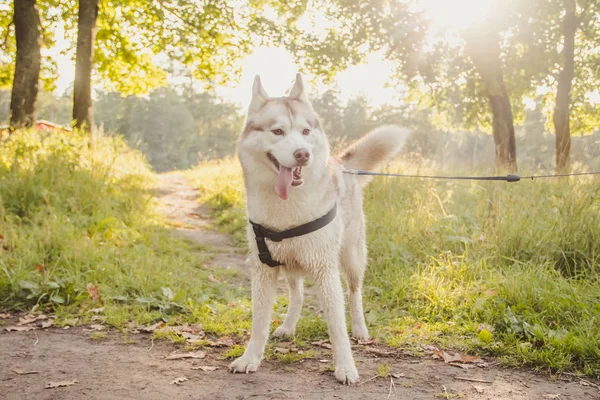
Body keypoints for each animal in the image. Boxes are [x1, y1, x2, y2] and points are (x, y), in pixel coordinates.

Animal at [230, 73, 408, 382]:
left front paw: (346, 366)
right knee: (298, 295)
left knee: (355, 294)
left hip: (352, 257)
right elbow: (259, 323)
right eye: (277, 131)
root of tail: (341, 163)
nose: (303, 154)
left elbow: (337, 327)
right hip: (290, 262)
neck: (287, 210)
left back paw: (360, 329)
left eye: (304, 131)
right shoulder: (263, 270)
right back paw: (288, 327)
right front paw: (250, 358)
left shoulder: (326, 269)